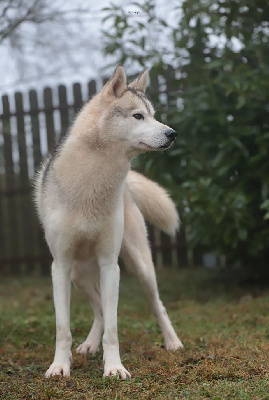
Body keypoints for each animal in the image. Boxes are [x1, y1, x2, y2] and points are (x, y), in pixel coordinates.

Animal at [34, 66, 182, 382]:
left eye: (153, 115)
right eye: (138, 116)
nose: (172, 133)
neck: (93, 185)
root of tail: (126, 187)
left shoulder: (110, 264)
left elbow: (113, 328)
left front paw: (114, 367)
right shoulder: (60, 266)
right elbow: (63, 328)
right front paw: (59, 367)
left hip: (141, 267)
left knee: (157, 305)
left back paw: (172, 342)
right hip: (78, 275)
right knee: (99, 310)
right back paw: (89, 345)